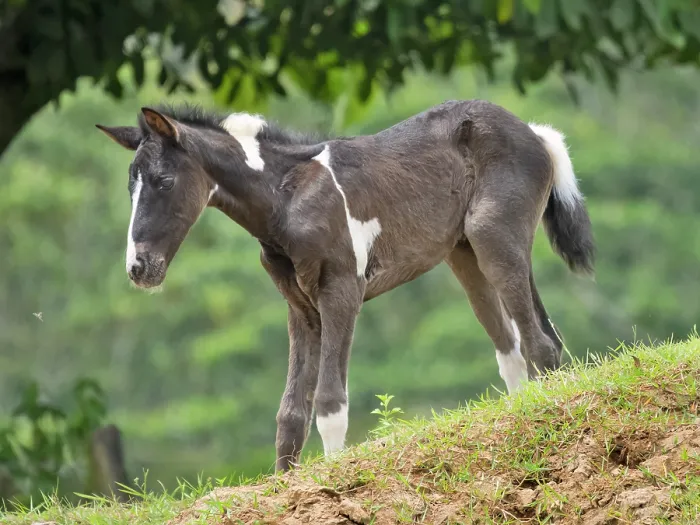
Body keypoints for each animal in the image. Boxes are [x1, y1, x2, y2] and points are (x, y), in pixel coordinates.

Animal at [96, 99, 595, 472]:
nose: (139, 267)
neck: (286, 197)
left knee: (538, 344)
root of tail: (534, 132)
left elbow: (330, 400)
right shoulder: (301, 307)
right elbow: (291, 413)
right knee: (521, 345)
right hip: (465, 252)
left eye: (163, 181)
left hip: (493, 237)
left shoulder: (342, 293)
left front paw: (333, 476)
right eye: (130, 187)